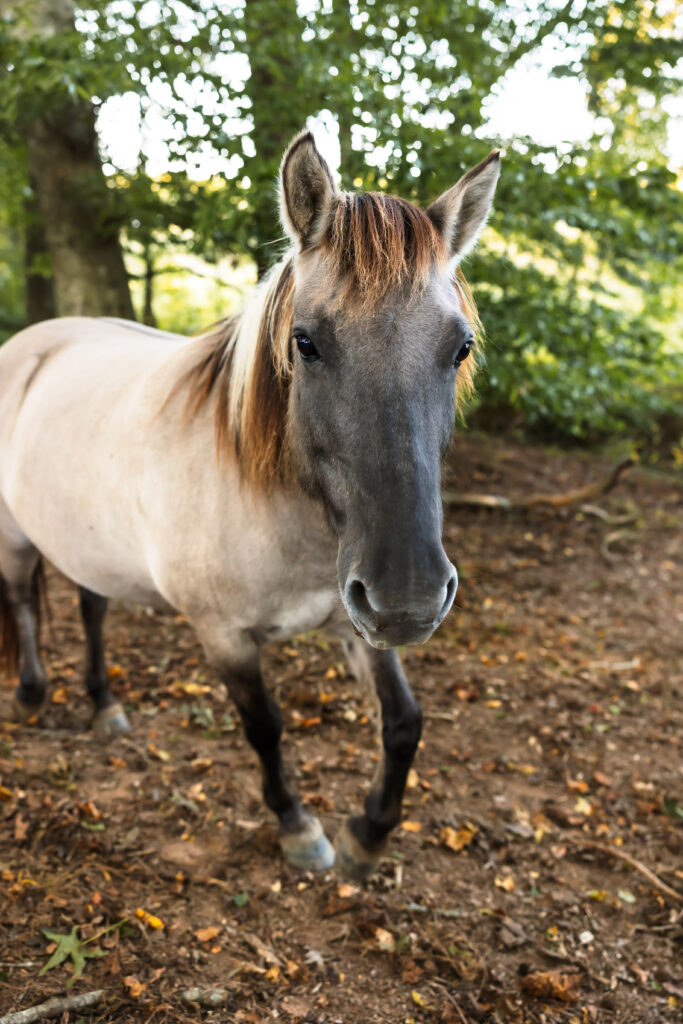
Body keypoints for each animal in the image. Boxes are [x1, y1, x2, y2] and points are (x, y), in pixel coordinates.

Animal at [0, 132, 500, 881]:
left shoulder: (355, 622)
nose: (408, 597)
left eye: (460, 346)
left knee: (92, 605)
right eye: (305, 342)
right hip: (15, 539)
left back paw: (104, 704)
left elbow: (405, 721)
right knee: (23, 601)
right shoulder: (225, 638)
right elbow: (264, 726)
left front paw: (368, 833)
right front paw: (299, 828)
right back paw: (32, 695)